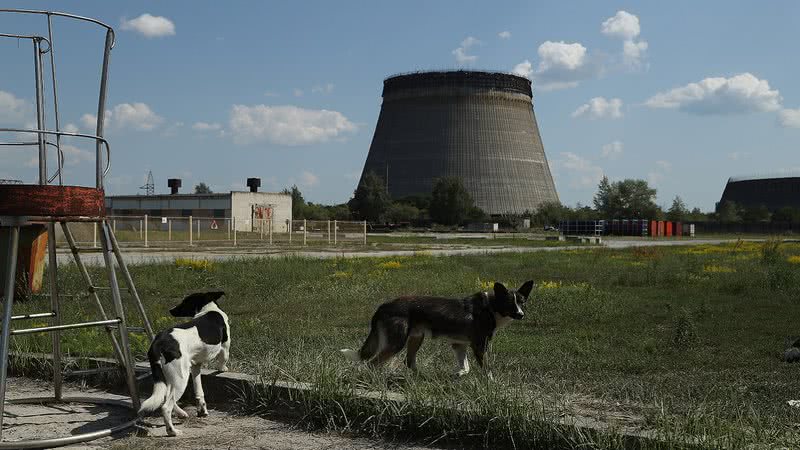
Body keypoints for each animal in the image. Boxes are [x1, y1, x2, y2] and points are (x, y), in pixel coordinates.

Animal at [138, 292, 230, 436]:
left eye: (185, 301)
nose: (171, 310)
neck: (209, 309)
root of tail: (158, 342)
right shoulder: (225, 346)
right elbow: (223, 359)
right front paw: (223, 368)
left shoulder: (196, 366)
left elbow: (199, 391)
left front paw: (202, 410)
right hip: (181, 377)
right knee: (166, 406)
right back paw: (172, 431)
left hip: (171, 376)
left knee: (167, 396)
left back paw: (181, 413)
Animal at [340, 282, 532, 380]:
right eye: (509, 303)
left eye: (522, 302)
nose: (520, 315)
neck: (491, 307)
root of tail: (383, 306)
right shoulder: (479, 345)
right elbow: (487, 368)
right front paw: (490, 383)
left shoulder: (459, 345)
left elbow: (466, 366)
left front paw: (458, 373)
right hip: (397, 342)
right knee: (373, 363)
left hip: (417, 337)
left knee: (408, 362)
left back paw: (422, 377)